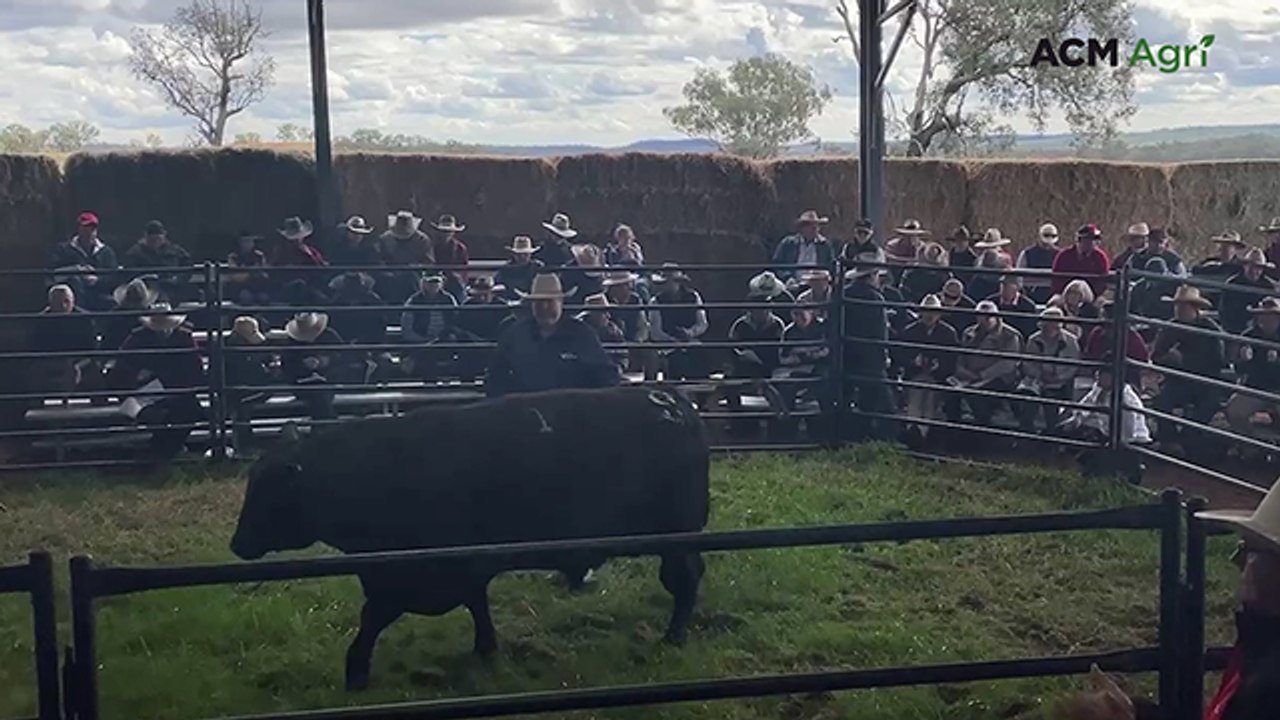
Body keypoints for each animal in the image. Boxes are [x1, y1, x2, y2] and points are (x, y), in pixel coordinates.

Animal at [229, 386, 711, 691]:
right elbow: (477, 605)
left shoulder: (409, 577)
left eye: (268, 492)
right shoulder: (456, 569)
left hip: (677, 536)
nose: (237, 544)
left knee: (684, 580)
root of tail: (673, 401)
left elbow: (372, 620)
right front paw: (486, 651)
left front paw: (355, 673)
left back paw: (673, 637)